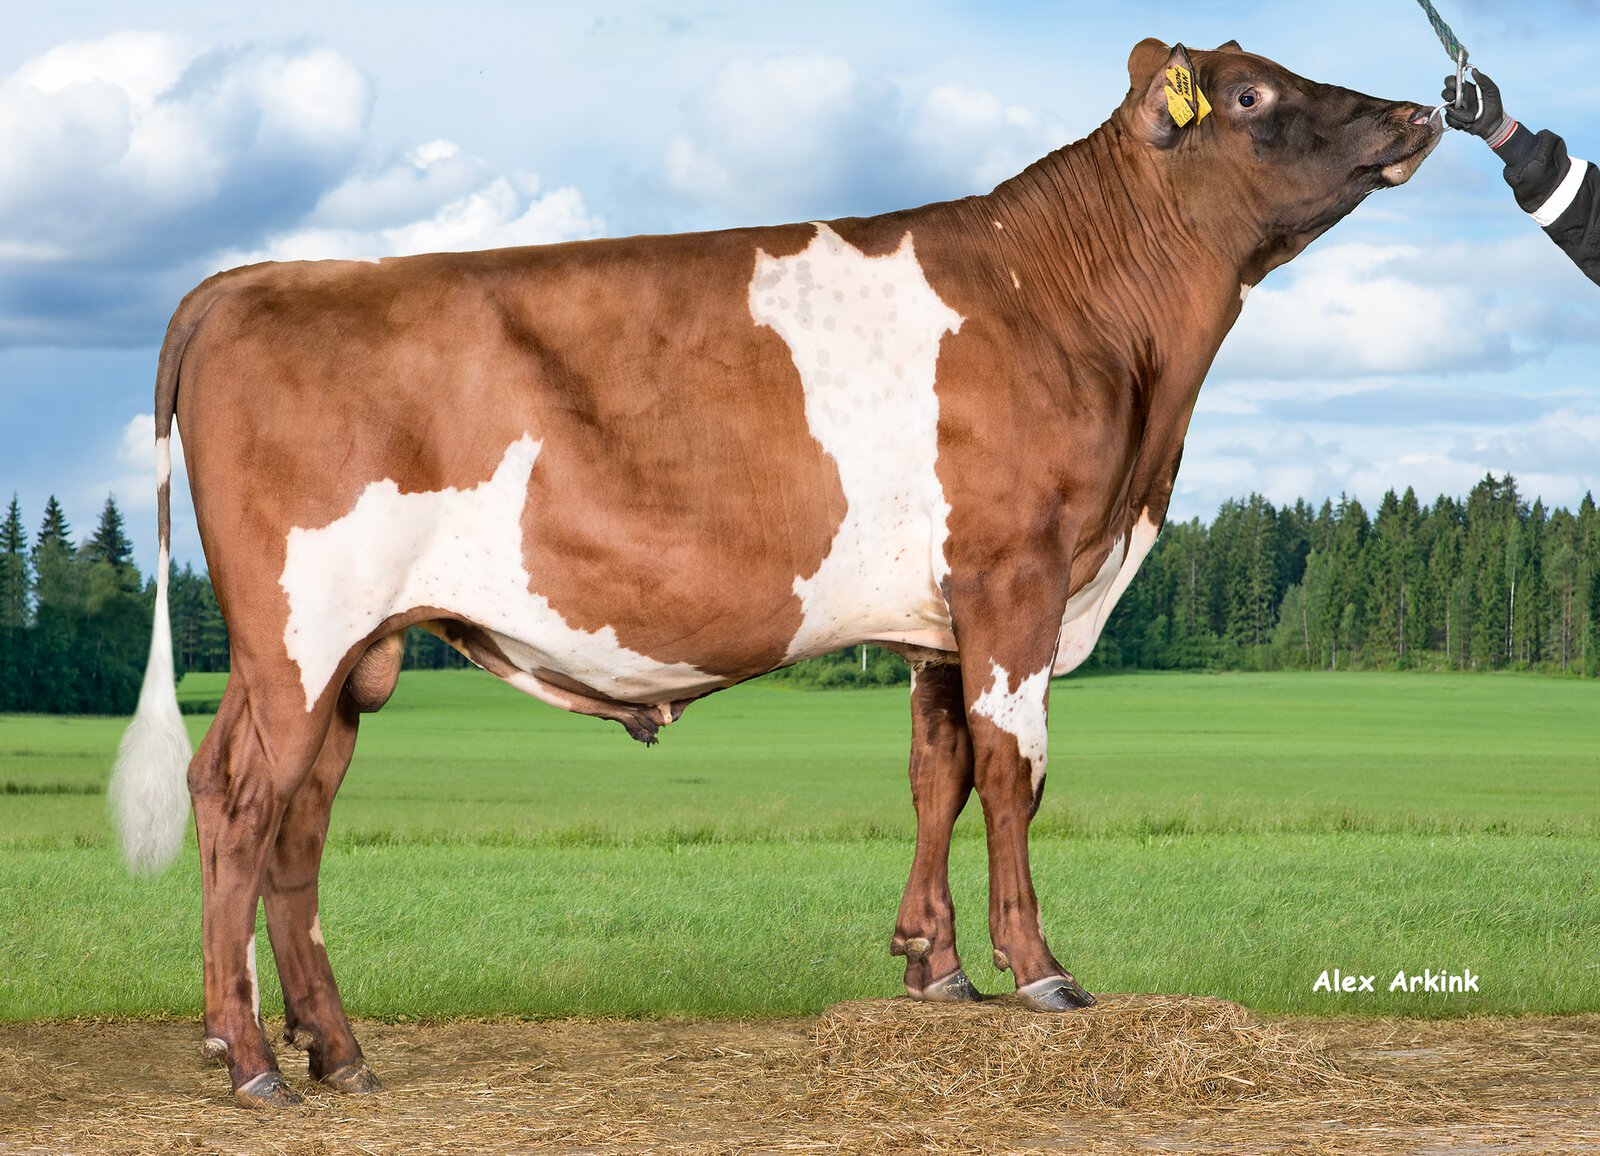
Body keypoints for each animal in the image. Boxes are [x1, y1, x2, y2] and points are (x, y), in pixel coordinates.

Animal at [109, 38, 1440, 1107]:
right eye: (1253, 93)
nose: (1415, 111)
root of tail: (252, 278)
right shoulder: (1015, 572)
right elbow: (1015, 772)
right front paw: (1040, 972)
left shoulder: (940, 614)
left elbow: (937, 772)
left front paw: (935, 967)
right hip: (301, 632)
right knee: (241, 801)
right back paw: (251, 1060)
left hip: (348, 655)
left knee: (291, 817)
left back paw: (336, 1051)